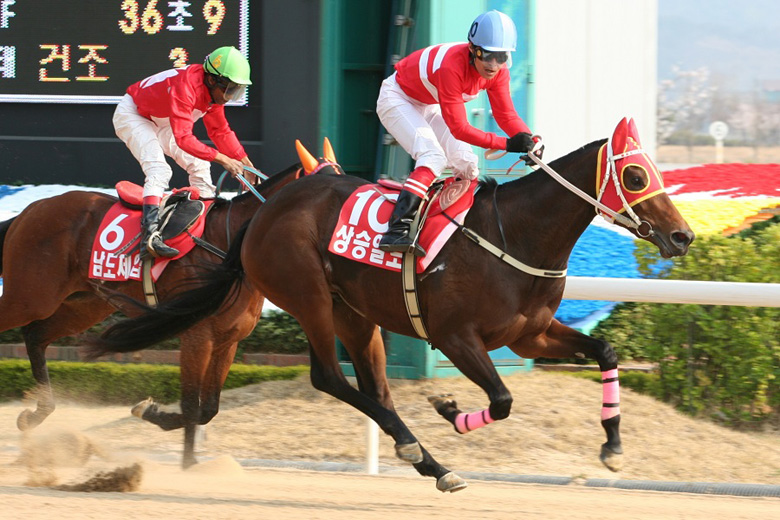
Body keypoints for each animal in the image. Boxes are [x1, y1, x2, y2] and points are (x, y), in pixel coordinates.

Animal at [0, 142, 341, 468]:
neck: (230, 244)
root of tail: (30, 210)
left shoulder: (228, 340)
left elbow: (209, 408)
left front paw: (154, 415)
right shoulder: (197, 335)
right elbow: (191, 404)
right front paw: (188, 462)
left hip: (83, 305)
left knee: (35, 335)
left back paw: (35, 414)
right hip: (30, 295)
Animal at [86, 118, 694, 491]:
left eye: (656, 171)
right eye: (635, 174)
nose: (683, 237)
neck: (517, 235)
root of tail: (263, 211)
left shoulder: (531, 335)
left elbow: (606, 350)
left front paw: (613, 447)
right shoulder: (455, 337)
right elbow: (501, 400)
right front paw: (450, 409)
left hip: (354, 312)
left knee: (372, 387)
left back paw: (429, 461)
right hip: (309, 295)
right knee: (331, 378)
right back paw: (416, 451)